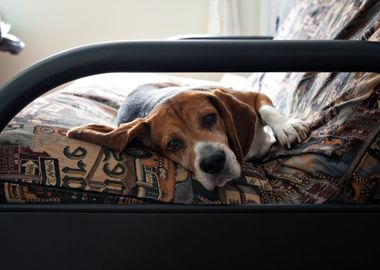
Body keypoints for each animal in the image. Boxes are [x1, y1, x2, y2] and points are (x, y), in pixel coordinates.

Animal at [66, 83, 308, 191]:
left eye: (210, 118)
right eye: (172, 144)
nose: (213, 162)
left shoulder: (253, 95)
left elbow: (267, 109)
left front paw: (287, 126)